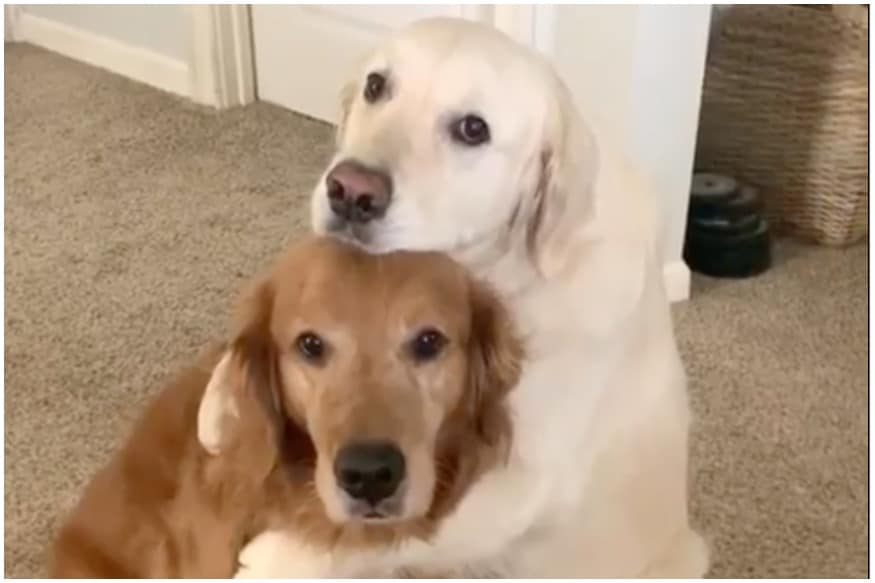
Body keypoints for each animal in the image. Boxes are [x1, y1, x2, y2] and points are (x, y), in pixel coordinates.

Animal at [200, 16, 712, 576]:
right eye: (376, 86)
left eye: (473, 129)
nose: (350, 191)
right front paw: (217, 405)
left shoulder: (522, 480)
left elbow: (402, 527)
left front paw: (279, 558)